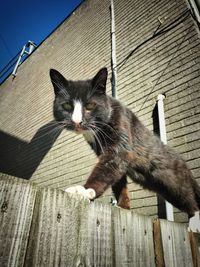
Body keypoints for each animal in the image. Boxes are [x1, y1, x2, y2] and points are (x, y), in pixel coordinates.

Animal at [49, 67, 200, 218]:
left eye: (90, 105)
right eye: (67, 105)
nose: (77, 121)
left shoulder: (121, 135)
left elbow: (108, 166)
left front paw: (84, 190)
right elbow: (119, 181)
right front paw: (123, 206)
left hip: (174, 182)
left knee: (188, 197)